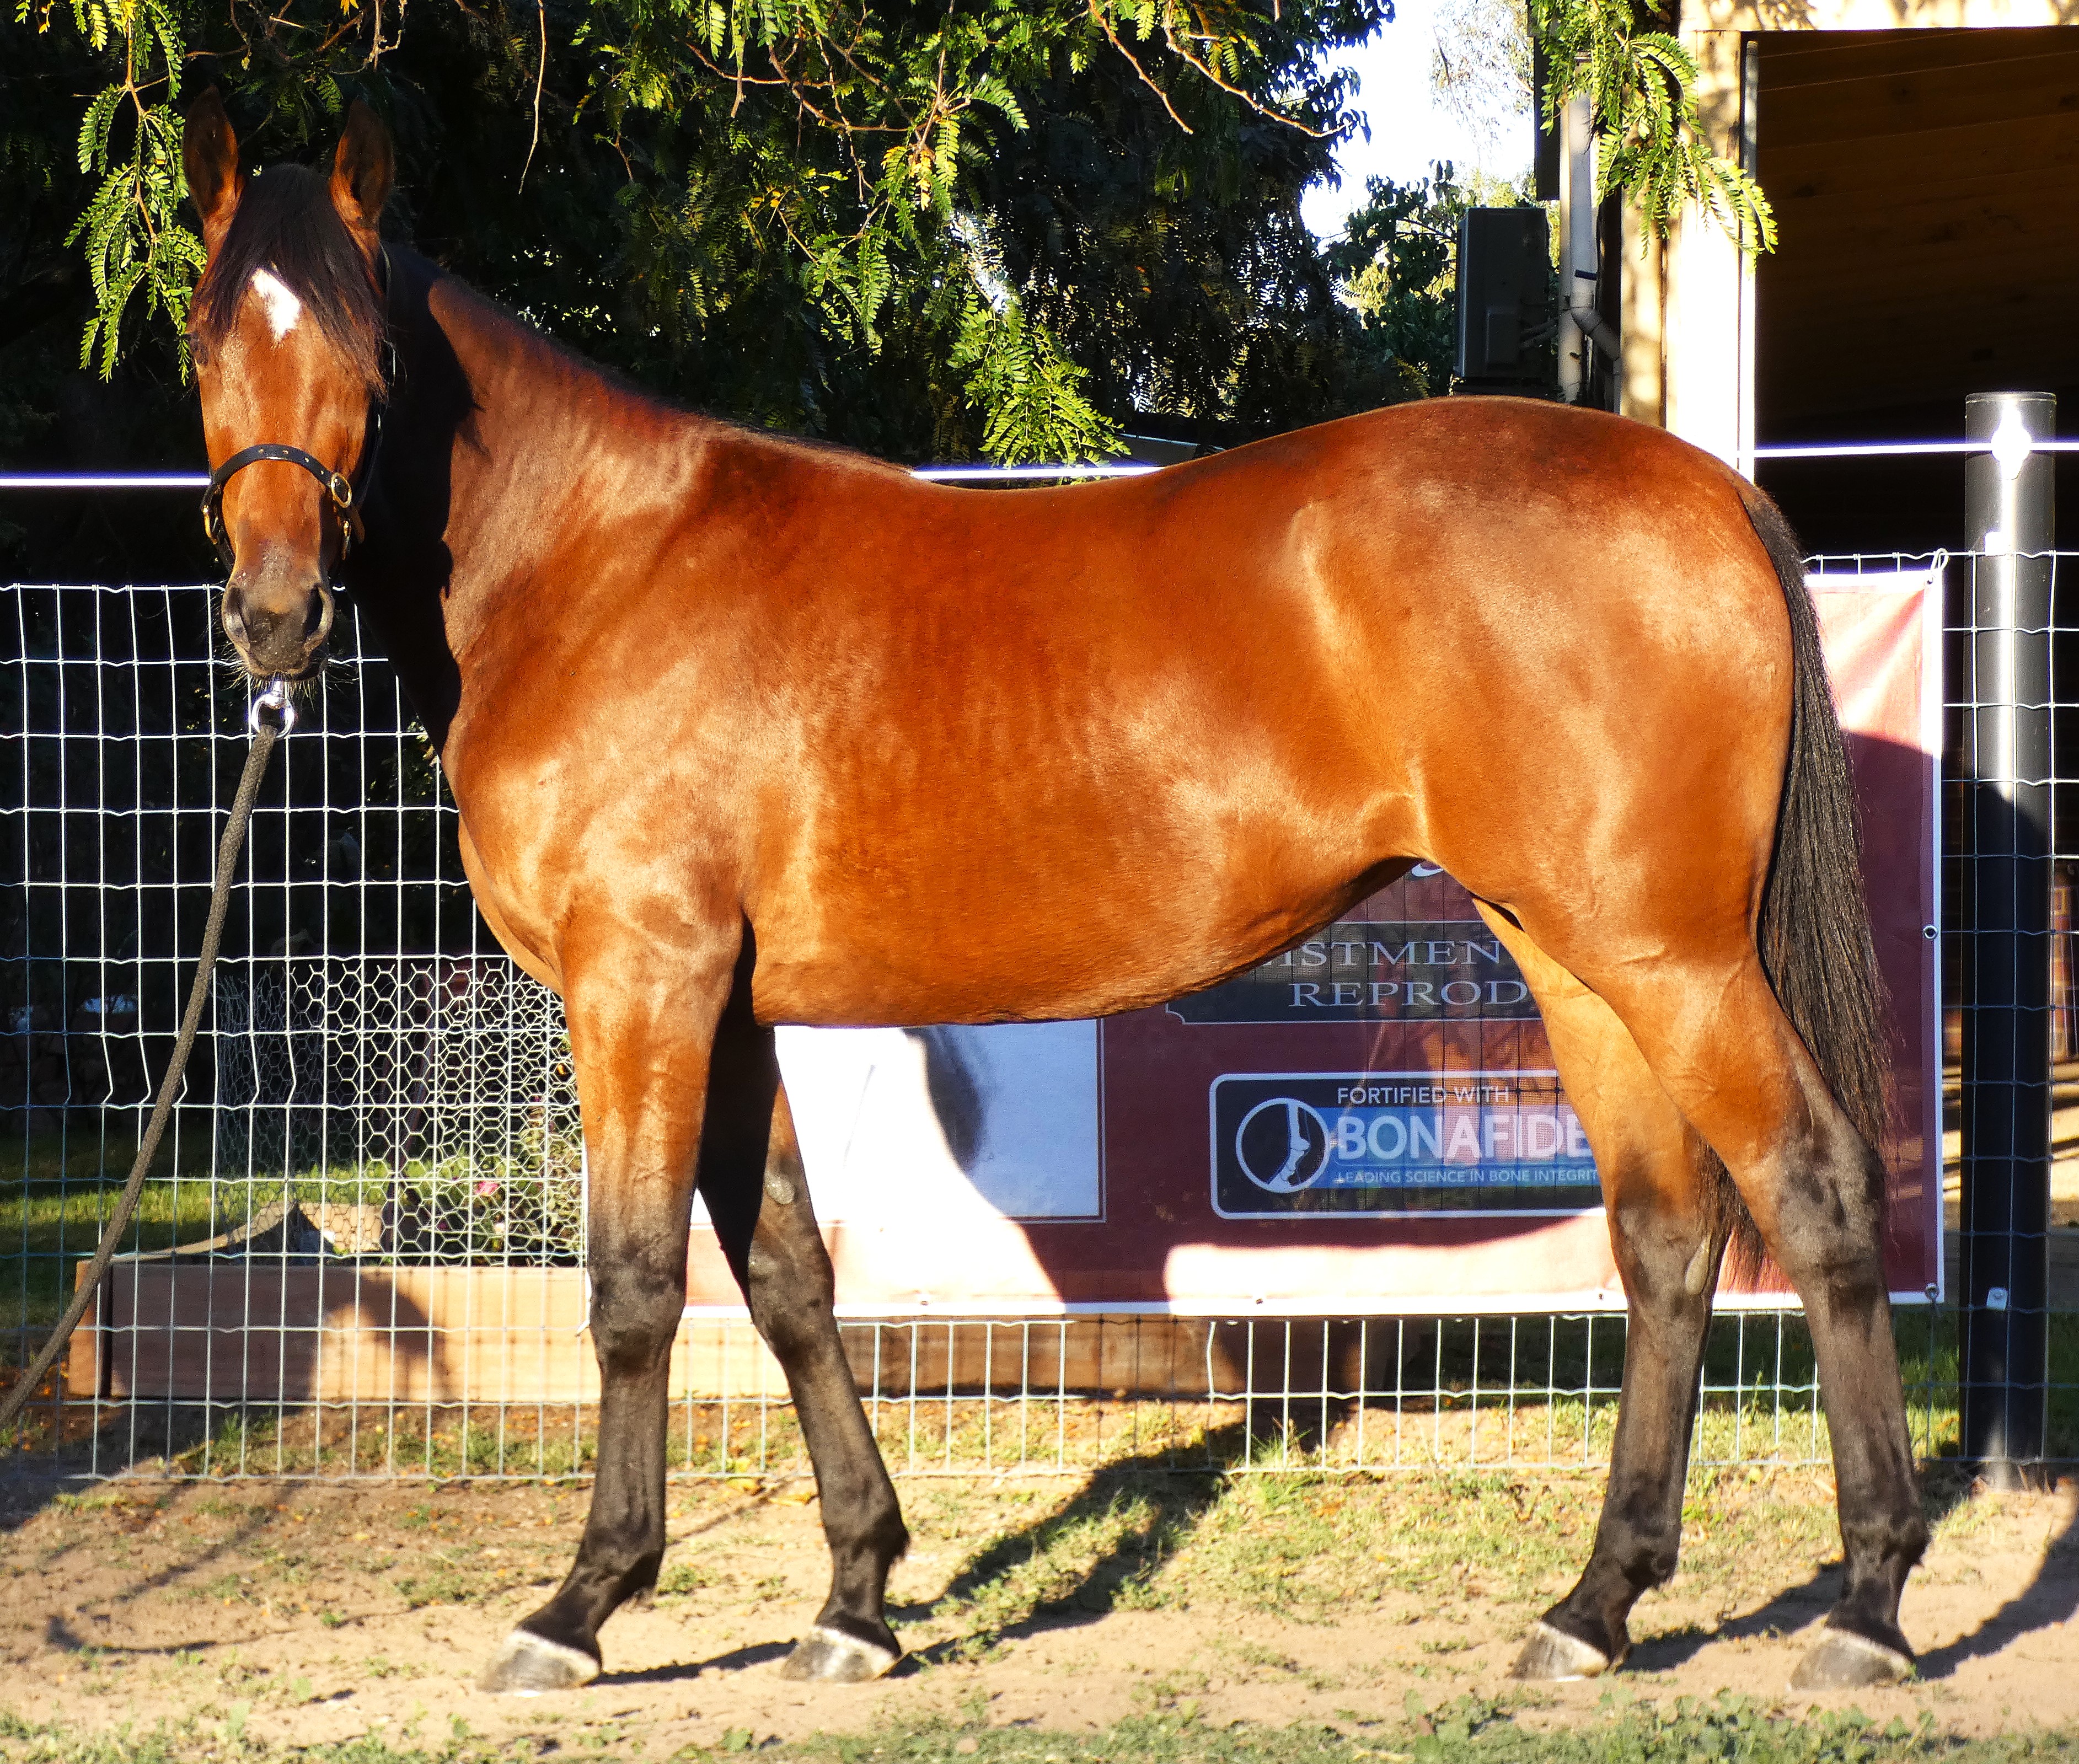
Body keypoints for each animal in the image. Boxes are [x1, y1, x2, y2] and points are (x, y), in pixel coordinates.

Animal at [179, 92, 1927, 1697]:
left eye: (366, 353)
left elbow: (636, 1286)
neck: (601, 569)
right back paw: (1595, 1604)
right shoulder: (724, 1010)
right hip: (1575, 953)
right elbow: (790, 1278)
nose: (272, 616)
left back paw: (1863, 1602)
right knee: (1665, 1233)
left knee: (1818, 1191)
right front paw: (856, 1597)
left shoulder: (640, 985)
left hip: (1674, 959)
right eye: (205, 342)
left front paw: (580, 1603)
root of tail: (1703, 490)